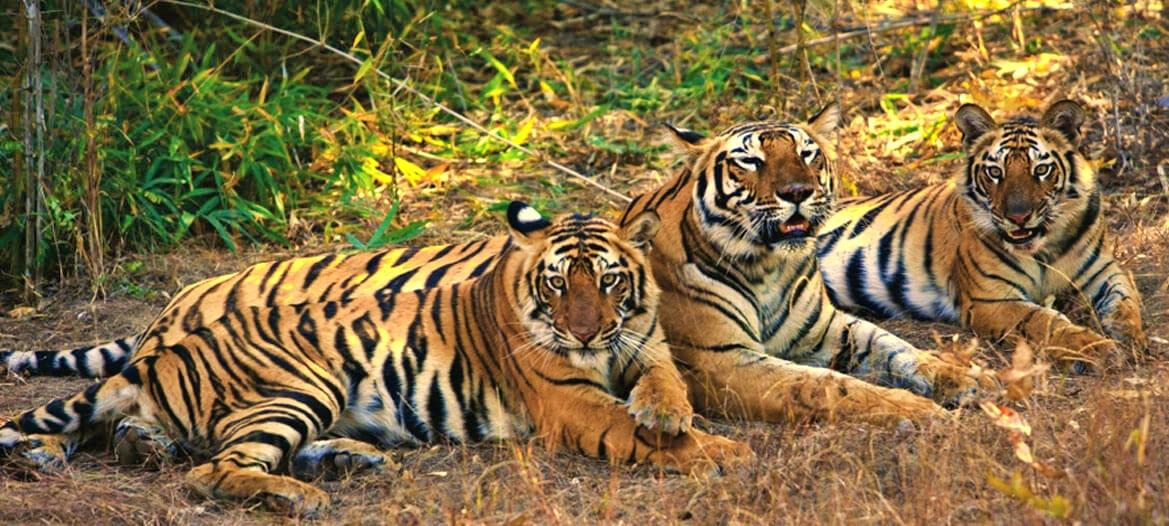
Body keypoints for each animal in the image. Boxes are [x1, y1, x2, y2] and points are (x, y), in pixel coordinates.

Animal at [1, 202, 751, 516]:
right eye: (558, 285)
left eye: (610, 281)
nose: (588, 334)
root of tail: (163, 343)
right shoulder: (570, 399)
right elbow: (631, 428)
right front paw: (723, 452)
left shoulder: (644, 344)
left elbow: (663, 382)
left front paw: (668, 413)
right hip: (300, 388)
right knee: (210, 470)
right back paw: (300, 496)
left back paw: (349, 461)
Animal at [613, 105, 992, 424]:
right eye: (751, 161)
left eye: (806, 154)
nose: (797, 192)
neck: (767, 269)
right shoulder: (720, 359)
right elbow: (825, 385)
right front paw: (916, 408)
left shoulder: (828, 327)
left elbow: (897, 348)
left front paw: (965, 377)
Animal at [817, 99, 1147, 371]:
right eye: (995, 172)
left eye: (1041, 170)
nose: (1018, 216)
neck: (1044, 248)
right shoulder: (991, 299)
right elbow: (1044, 321)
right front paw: (1096, 349)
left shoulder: (1105, 271)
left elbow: (1124, 302)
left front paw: (1130, 338)